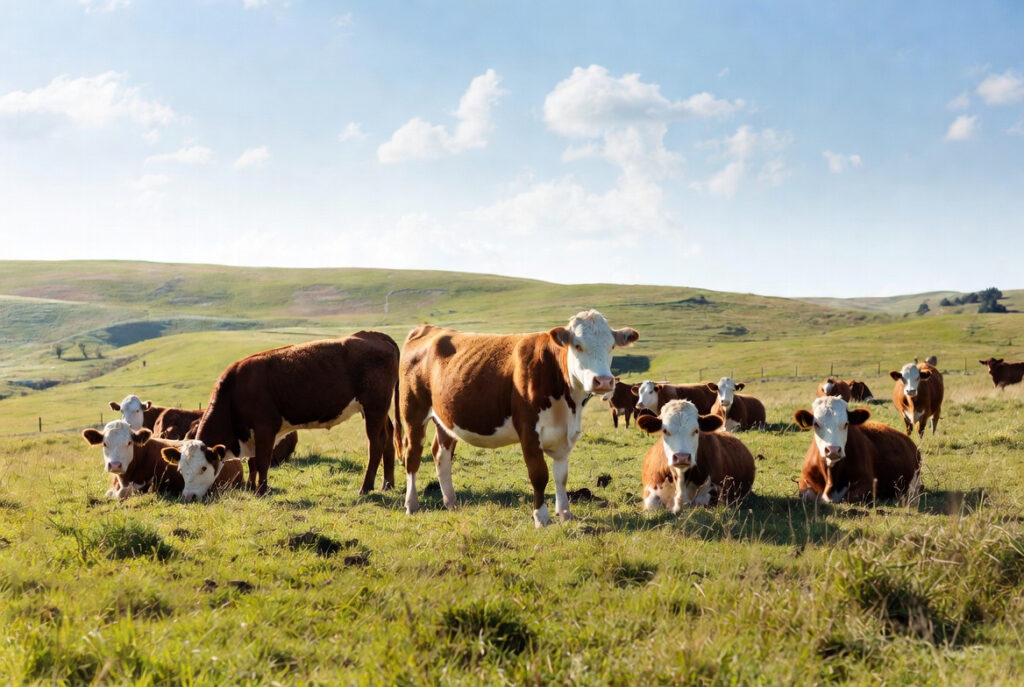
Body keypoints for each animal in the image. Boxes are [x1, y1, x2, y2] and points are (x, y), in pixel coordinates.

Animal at [194, 330, 399, 495]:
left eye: (203, 468)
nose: (190, 497)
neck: (234, 389)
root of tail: (374, 335)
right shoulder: (251, 434)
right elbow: (252, 462)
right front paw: (251, 488)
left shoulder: (264, 429)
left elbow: (262, 461)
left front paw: (262, 490)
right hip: (379, 411)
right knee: (389, 436)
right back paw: (387, 484)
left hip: (374, 408)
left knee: (376, 443)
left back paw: (366, 487)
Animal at [395, 309, 639, 527]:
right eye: (578, 345)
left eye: (611, 346)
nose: (604, 381)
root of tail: (428, 328)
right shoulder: (529, 431)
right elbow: (539, 475)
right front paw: (541, 517)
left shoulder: (564, 435)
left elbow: (561, 476)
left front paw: (565, 513)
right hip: (413, 413)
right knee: (413, 457)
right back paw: (411, 504)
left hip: (445, 418)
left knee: (441, 454)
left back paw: (451, 502)